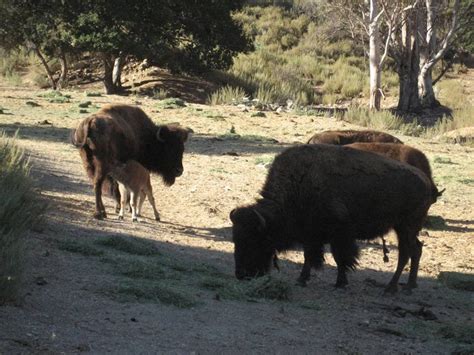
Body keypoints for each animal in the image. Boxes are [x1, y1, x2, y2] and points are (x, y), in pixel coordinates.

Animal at [230, 143, 434, 294]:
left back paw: (391, 288)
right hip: (406, 229)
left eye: (255, 240)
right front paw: (302, 279)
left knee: (405, 253)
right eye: (236, 240)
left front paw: (340, 283)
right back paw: (409, 286)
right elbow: (309, 257)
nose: (241, 274)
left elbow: (340, 258)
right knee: (416, 249)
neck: (299, 185)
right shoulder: (311, 236)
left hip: (405, 227)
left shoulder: (339, 235)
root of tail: (426, 182)